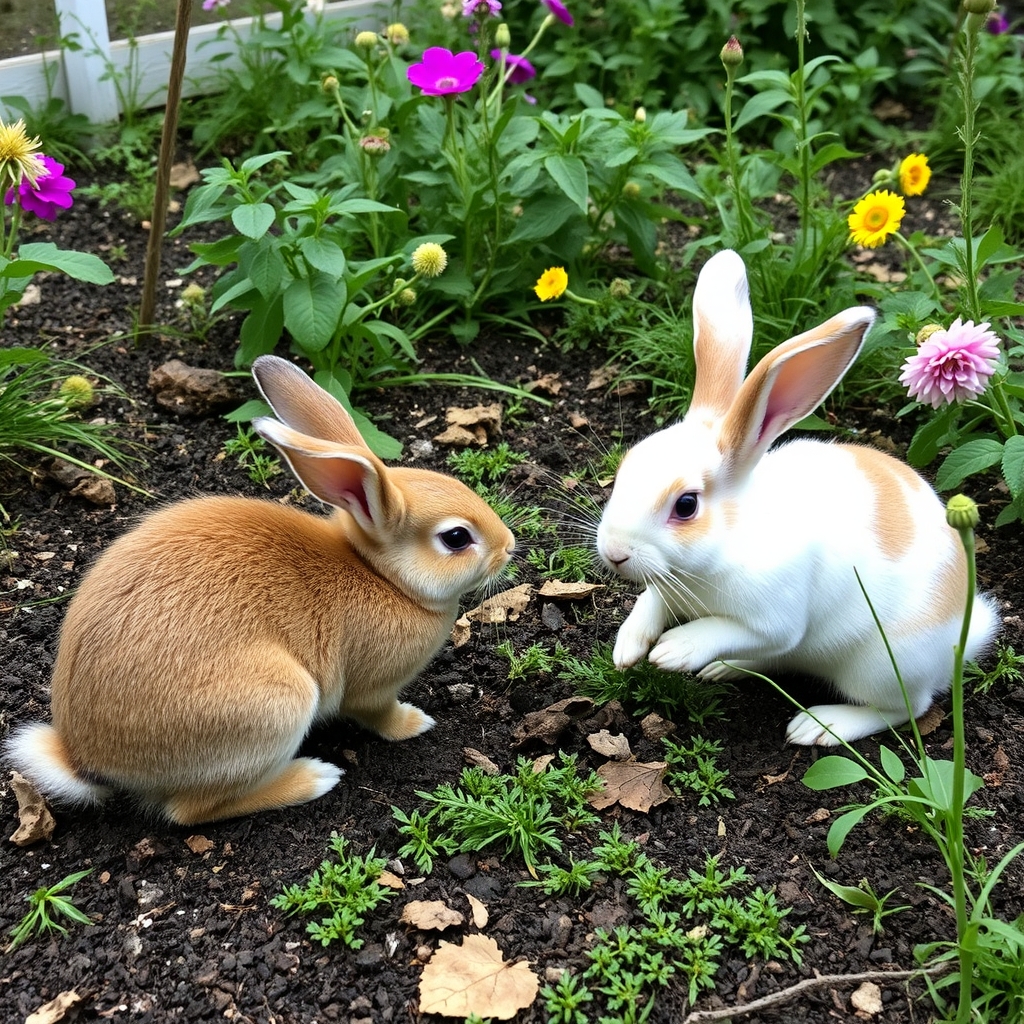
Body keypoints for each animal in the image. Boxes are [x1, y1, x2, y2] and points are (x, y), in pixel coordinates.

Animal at [6, 355, 516, 824]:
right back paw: (314, 778)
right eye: (456, 538)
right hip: (274, 708)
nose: (509, 546)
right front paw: (415, 723)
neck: (381, 575)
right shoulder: (373, 689)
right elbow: (379, 714)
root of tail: (86, 760)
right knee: (190, 811)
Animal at [596, 249, 998, 746]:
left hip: (882, 668)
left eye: (686, 505)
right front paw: (628, 649)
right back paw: (723, 670)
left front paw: (674, 651)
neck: (731, 538)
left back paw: (818, 725)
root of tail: (959, 641)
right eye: (624, 469)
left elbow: (727, 629)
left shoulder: (776, 618)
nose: (614, 553)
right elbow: (648, 604)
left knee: (905, 707)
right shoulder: (666, 589)